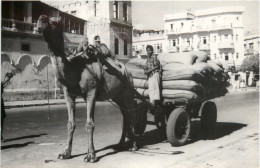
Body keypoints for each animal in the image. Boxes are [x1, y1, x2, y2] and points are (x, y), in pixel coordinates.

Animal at [36, 14, 142, 163]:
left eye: (55, 23)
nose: (41, 19)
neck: (74, 69)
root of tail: (127, 70)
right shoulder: (68, 95)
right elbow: (70, 124)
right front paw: (66, 153)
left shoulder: (91, 93)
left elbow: (89, 124)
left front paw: (91, 155)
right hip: (117, 95)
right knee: (125, 115)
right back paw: (120, 144)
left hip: (127, 89)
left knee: (133, 113)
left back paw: (134, 145)